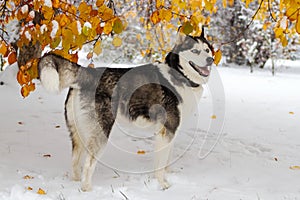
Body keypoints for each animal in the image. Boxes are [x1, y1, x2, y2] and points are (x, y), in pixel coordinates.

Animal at [38, 30, 214, 191]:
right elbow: (161, 164)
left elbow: (165, 161)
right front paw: (163, 184)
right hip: (101, 133)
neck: (179, 74)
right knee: (88, 164)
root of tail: (87, 73)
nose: (210, 59)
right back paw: (87, 189)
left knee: (75, 160)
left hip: (77, 134)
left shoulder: (167, 132)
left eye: (207, 49)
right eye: (195, 51)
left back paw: (75, 182)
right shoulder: (168, 130)